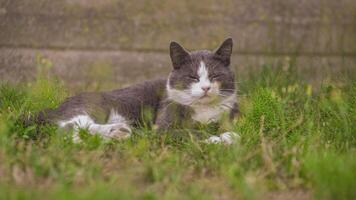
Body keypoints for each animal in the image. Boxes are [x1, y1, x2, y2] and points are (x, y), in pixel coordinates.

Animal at [29, 38, 239, 144]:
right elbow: (190, 132)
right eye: (193, 77)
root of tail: (54, 108)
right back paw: (118, 130)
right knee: (69, 127)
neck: (203, 110)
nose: (205, 88)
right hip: (93, 106)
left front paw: (225, 135)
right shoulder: (164, 126)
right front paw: (224, 138)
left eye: (214, 75)